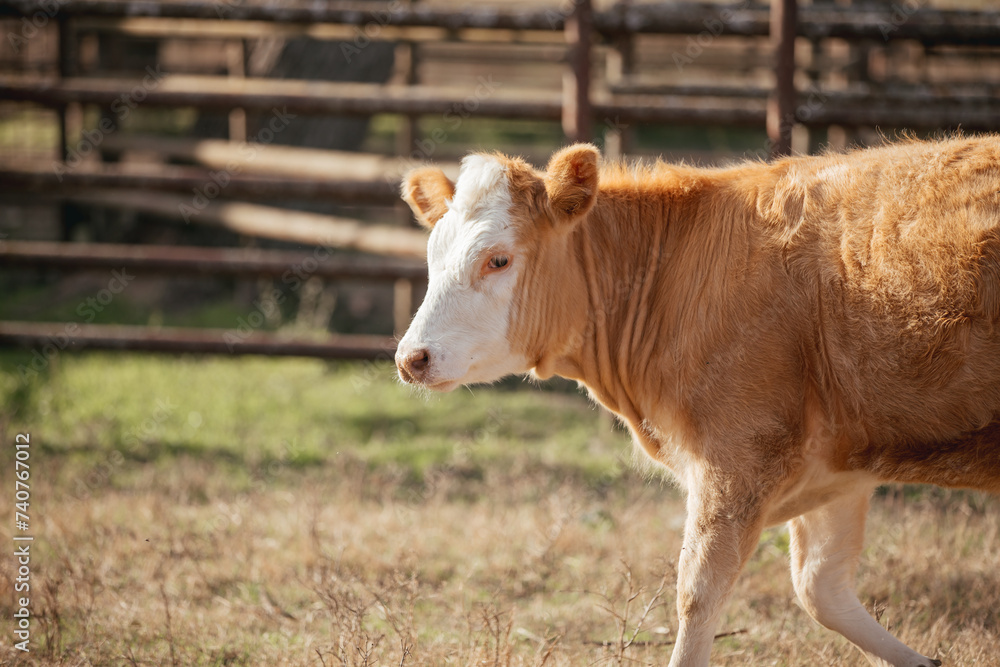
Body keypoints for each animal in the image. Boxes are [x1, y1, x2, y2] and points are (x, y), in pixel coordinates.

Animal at [394, 136, 1000, 667]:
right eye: (432, 256)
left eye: (498, 260)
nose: (411, 357)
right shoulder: (840, 466)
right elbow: (821, 587)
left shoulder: (738, 454)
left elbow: (699, 592)